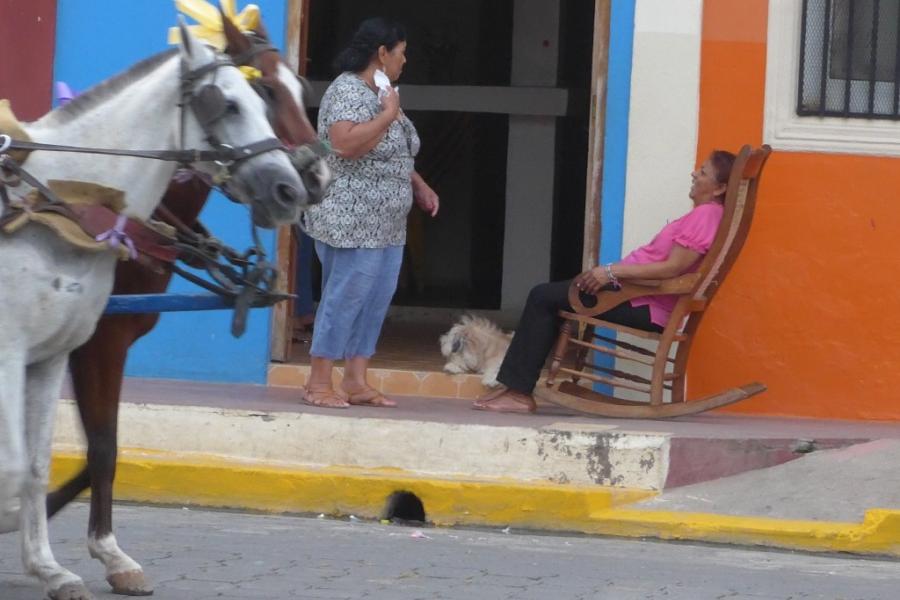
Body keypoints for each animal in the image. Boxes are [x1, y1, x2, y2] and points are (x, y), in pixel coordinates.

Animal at [0, 23, 310, 600]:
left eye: (287, 91)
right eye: (232, 102)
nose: (295, 188)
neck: (65, 207)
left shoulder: (51, 355)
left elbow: (39, 464)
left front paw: (52, 566)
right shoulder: (52, 349)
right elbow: (72, 453)